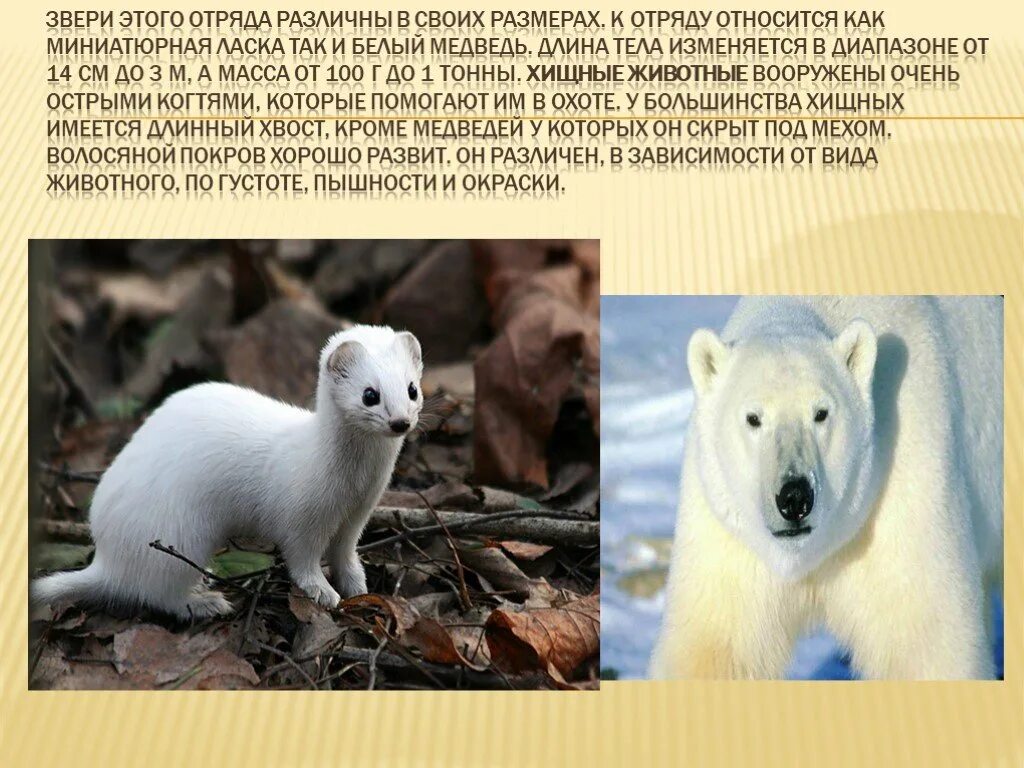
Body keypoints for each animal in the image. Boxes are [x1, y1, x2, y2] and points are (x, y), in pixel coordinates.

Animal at [649, 296, 1003, 680]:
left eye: (821, 413)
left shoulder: (902, 487)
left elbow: (926, 644)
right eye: (753, 418)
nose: (794, 498)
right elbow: (716, 647)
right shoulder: (727, 531)